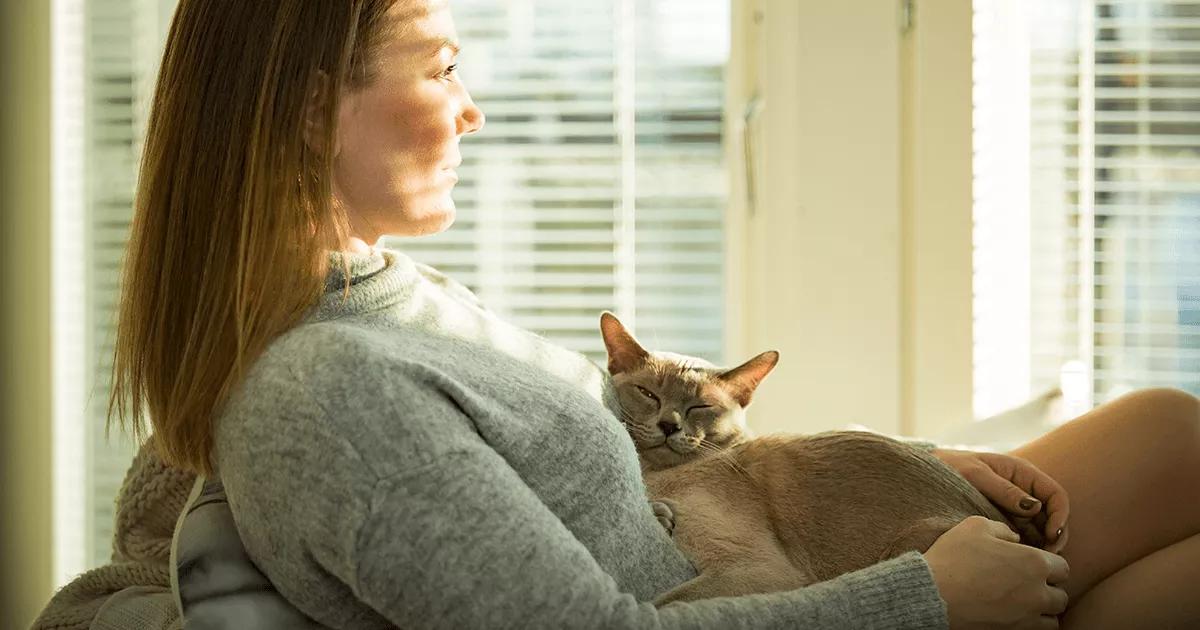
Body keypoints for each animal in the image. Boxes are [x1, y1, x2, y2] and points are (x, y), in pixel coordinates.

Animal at [600, 312, 1041, 602]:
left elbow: (663, 603)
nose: (669, 424)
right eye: (649, 394)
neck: (656, 476)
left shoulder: (758, 569)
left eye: (699, 407)